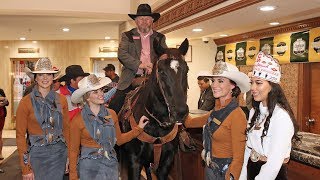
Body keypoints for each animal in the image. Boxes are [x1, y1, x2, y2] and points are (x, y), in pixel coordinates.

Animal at [119, 38, 190, 179]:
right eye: (161, 71)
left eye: (187, 70)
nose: (180, 112)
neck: (156, 124)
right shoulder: (134, 162)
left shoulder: (166, 163)